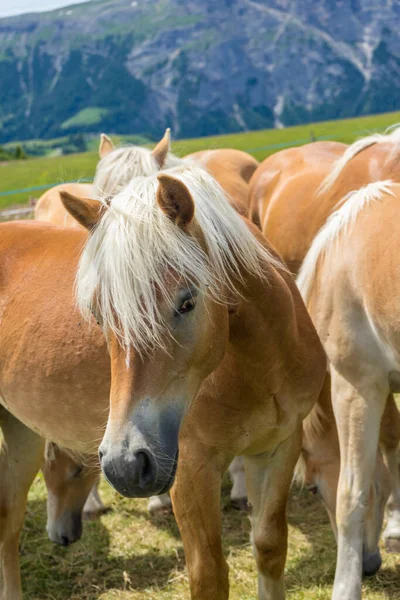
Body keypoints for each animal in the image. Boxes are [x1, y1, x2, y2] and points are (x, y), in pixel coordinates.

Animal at [0, 165, 324, 600]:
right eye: (99, 315)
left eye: (186, 302)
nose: (122, 464)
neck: (264, 366)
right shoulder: (191, 470)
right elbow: (208, 575)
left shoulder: (278, 448)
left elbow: (270, 547)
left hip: (23, 433)